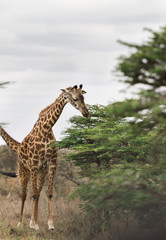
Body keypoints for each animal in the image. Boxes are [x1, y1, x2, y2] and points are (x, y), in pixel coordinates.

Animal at [0, 84, 89, 229]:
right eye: (75, 98)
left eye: (83, 97)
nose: (86, 113)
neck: (46, 129)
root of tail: (19, 147)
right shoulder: (34, 164)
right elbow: (32, 194)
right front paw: (34, 225)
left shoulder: (52, 164)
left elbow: (48, 193)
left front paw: (49, 224)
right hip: (24, 170)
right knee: (24, 194)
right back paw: (20, 223)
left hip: (41, 171)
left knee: (37, 192)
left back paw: (32, 221)